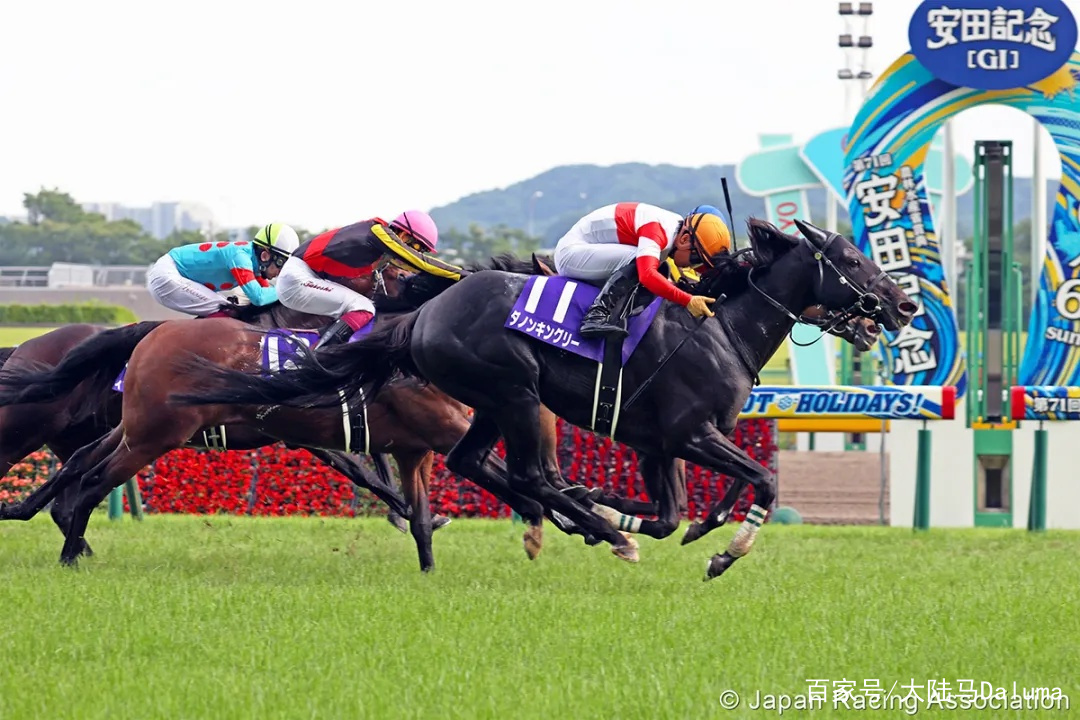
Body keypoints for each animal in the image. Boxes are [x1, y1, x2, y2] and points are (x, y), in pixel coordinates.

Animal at [166, 220, 911, 578]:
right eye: (851, 259)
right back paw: (595, 528)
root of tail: (423, 312)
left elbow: (679, 509)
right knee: (530, 473)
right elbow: (760, 482)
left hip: (494, 403)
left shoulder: (660, 443)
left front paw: (656, 518)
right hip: (517, 392)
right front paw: (721, 553)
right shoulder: (692, 433)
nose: (902, 305)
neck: (720, 325)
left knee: (479, 465)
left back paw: (586, 521)